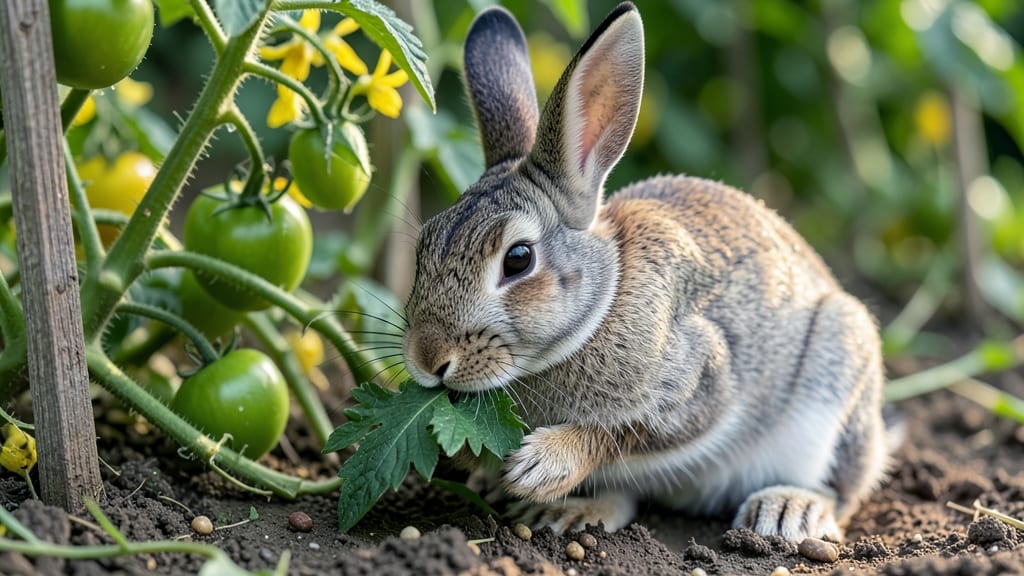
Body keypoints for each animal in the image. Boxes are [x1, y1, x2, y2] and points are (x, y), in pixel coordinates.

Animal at [401, 1, 894, 542]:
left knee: (842, 492)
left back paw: (790, 509)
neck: (604, 299)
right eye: (424, 243)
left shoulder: (702, 379)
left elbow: (623, 432)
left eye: (518, 259)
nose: (428, 359)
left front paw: (539, 466)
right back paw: (568, 512)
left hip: (836, 374)